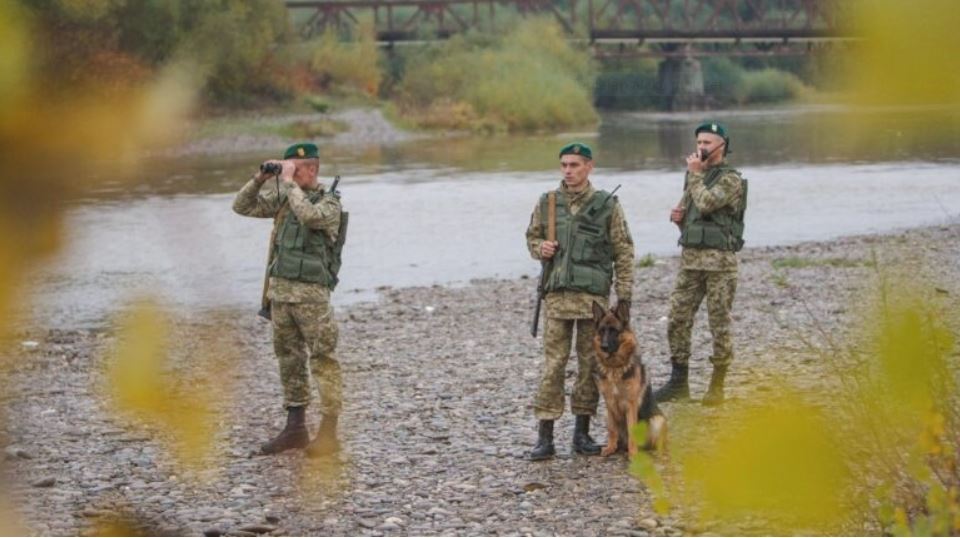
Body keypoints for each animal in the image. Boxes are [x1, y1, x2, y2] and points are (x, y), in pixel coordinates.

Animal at [588, 300, 664, 454]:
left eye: (614, 331)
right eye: (602, 331)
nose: (604, 347)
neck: (615, 367)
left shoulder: (631, 404)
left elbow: (632, 431)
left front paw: (633, 453)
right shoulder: (609, 403)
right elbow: (612, 429)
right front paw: (610, 448)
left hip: (658, 420)